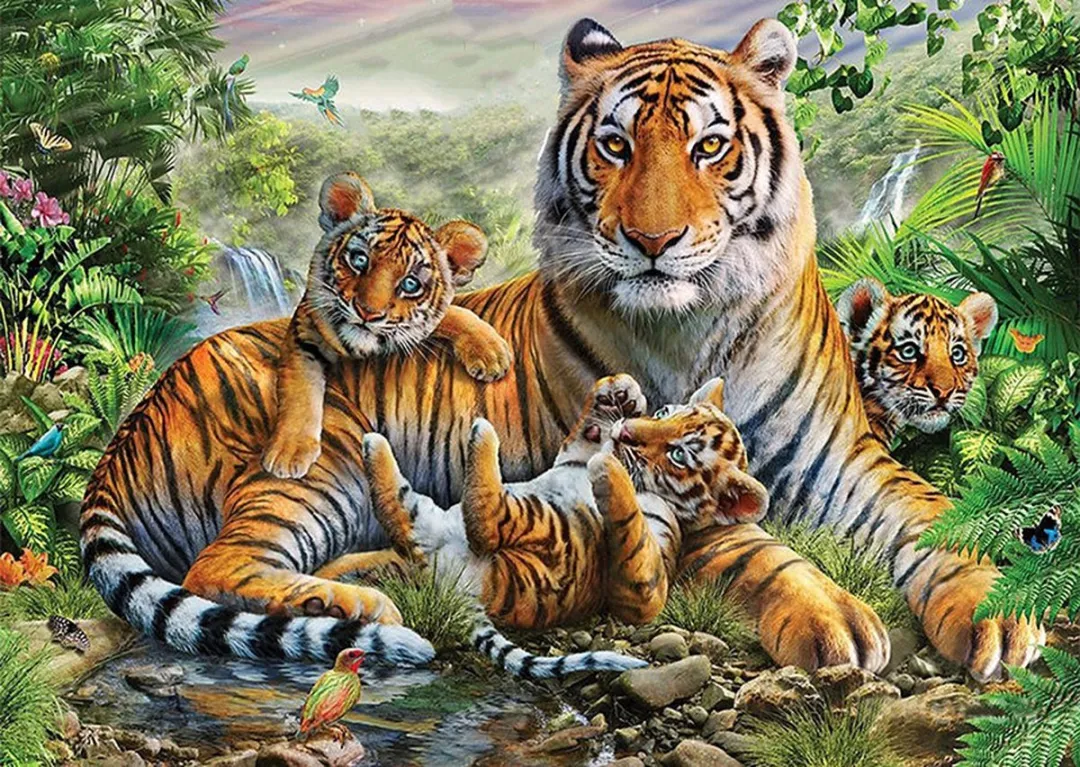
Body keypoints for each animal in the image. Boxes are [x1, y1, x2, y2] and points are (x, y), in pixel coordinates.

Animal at [262, 171, 512, 479]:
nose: (367, 313)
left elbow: (452, 314)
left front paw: (491, 352)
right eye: (359, 260)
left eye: (410, 284)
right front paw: (289, 451)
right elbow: (300, 390)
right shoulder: (304, 334)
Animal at [362, 375, 770, 677]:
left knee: (489, 520)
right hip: (430, 520)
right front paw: (620, 391)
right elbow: (583, 437)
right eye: (664, 411)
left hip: (549, 532)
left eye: (679, 454)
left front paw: (608, 469)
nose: (625, 432)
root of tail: (457, 588)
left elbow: (633, 533)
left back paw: (481, 433)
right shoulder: (574, 454)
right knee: (398, 514)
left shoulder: (647, 588)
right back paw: (374, 443)